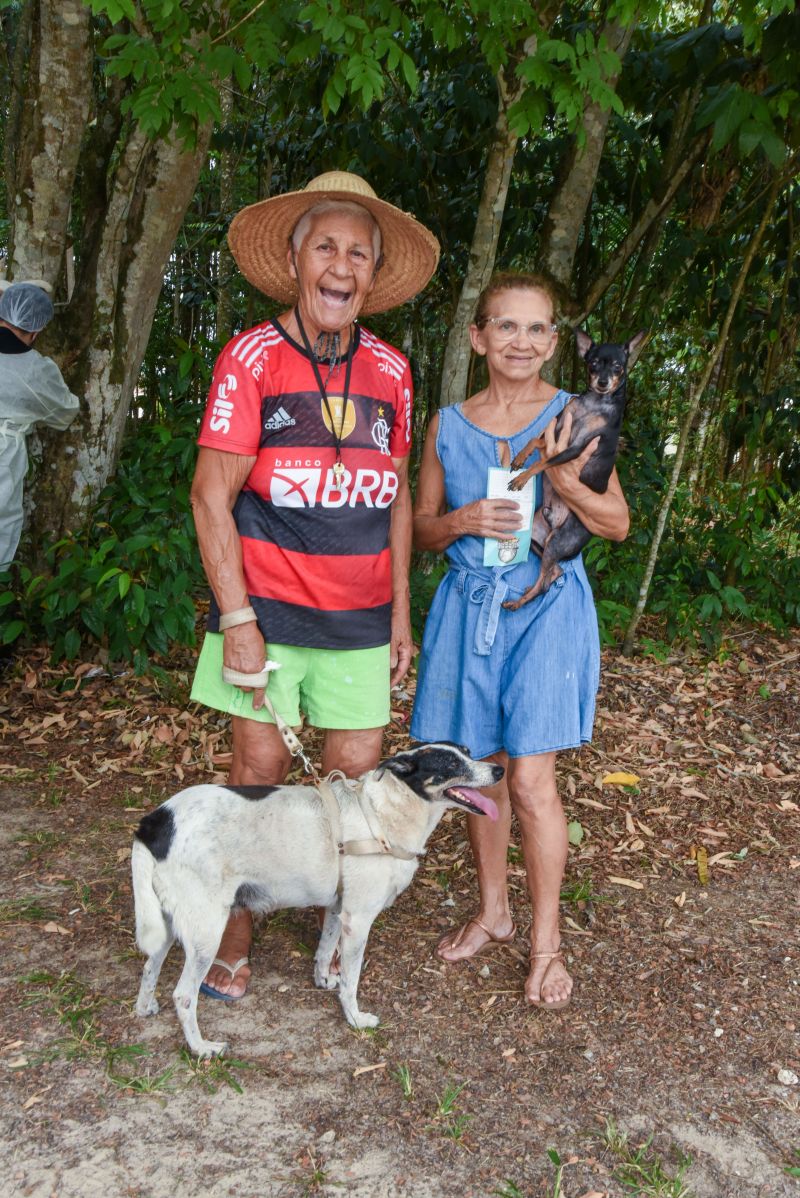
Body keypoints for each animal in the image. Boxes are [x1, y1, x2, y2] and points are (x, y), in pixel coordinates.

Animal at [132, 742, 500, 1054]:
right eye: (451, 763)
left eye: (468, 752)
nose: (498, 770)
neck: (383, 813)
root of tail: (154, 822)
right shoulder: (358, 920)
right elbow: (351, 980)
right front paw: (355, 1018)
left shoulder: (338, 909)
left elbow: (325, 949)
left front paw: (323, 980)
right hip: (206, 932)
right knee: (183, 995)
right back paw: (201, 1048)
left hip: (168, 924)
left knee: (150, 966)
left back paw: (145, 1007)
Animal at [505, 328, 641, 608]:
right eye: (593, 363)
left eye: (618, 367)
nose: (603, 382)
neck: (594, 404)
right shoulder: (558, 428)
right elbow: (536, 440)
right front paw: (521, 458)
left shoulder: (577, 447)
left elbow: (544, 461)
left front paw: (523, 478)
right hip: (538, 539)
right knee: (553, 573)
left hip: (557, 542)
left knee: (546, 581)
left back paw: (518, 603)